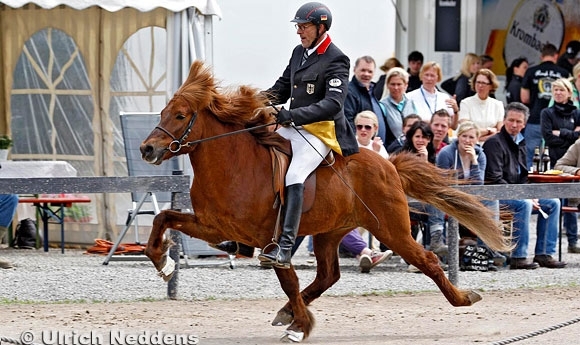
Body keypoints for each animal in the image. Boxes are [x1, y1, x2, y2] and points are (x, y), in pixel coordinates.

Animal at [143, 60, 510, 340]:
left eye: (180, 115)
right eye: (162, 111)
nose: (147, 149)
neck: (234, 164)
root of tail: (388, 164)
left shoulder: (270, 240)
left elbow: (288, 279)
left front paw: (300, 327)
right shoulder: (215, 226)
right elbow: (164, 219)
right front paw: (164, 264)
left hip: (393, 231)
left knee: (428, 261)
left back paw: (463, 298)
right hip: (329, 233)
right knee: (328, 276)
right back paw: (288, 312)